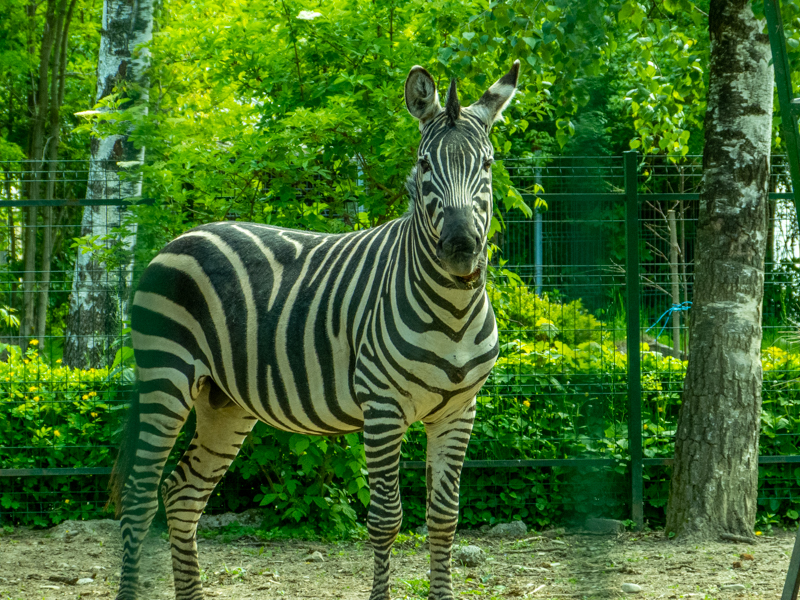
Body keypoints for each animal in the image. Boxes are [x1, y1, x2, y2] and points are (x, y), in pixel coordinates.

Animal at [109, 60, 520, 600]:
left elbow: (444, 519)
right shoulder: (382, 407)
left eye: (487, 165)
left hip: (224, 400)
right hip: (165, 377)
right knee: (139, 497)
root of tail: (182, 236)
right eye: (425, 165)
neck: (453, 309)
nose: (460, 247)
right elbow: (386, 520)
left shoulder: (459, 411)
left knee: (182, 494)